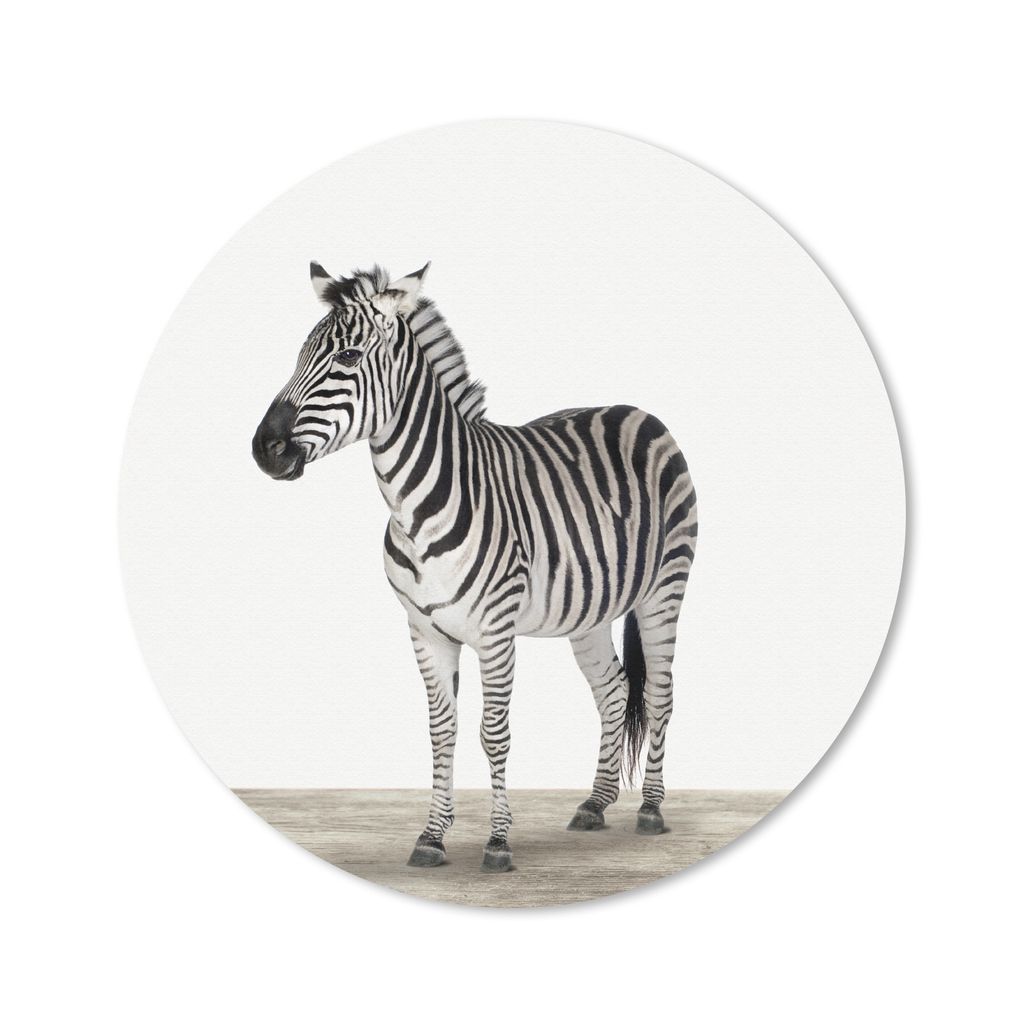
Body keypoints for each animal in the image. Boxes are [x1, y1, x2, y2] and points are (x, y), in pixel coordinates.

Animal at [252, 262, 697, 873]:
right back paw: (595, 803)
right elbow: (442, 732)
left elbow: (493, 733)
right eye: (299, 355)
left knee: (659, 694)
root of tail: (639, 411)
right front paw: (432, 837)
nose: (263, 449)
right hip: (589, 609)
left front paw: (498, 842)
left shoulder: (495, 630)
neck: (414, 508)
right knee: (612, 690)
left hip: (664, 590)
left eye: (347, 357)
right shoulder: (424, 630)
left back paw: (651, 809)